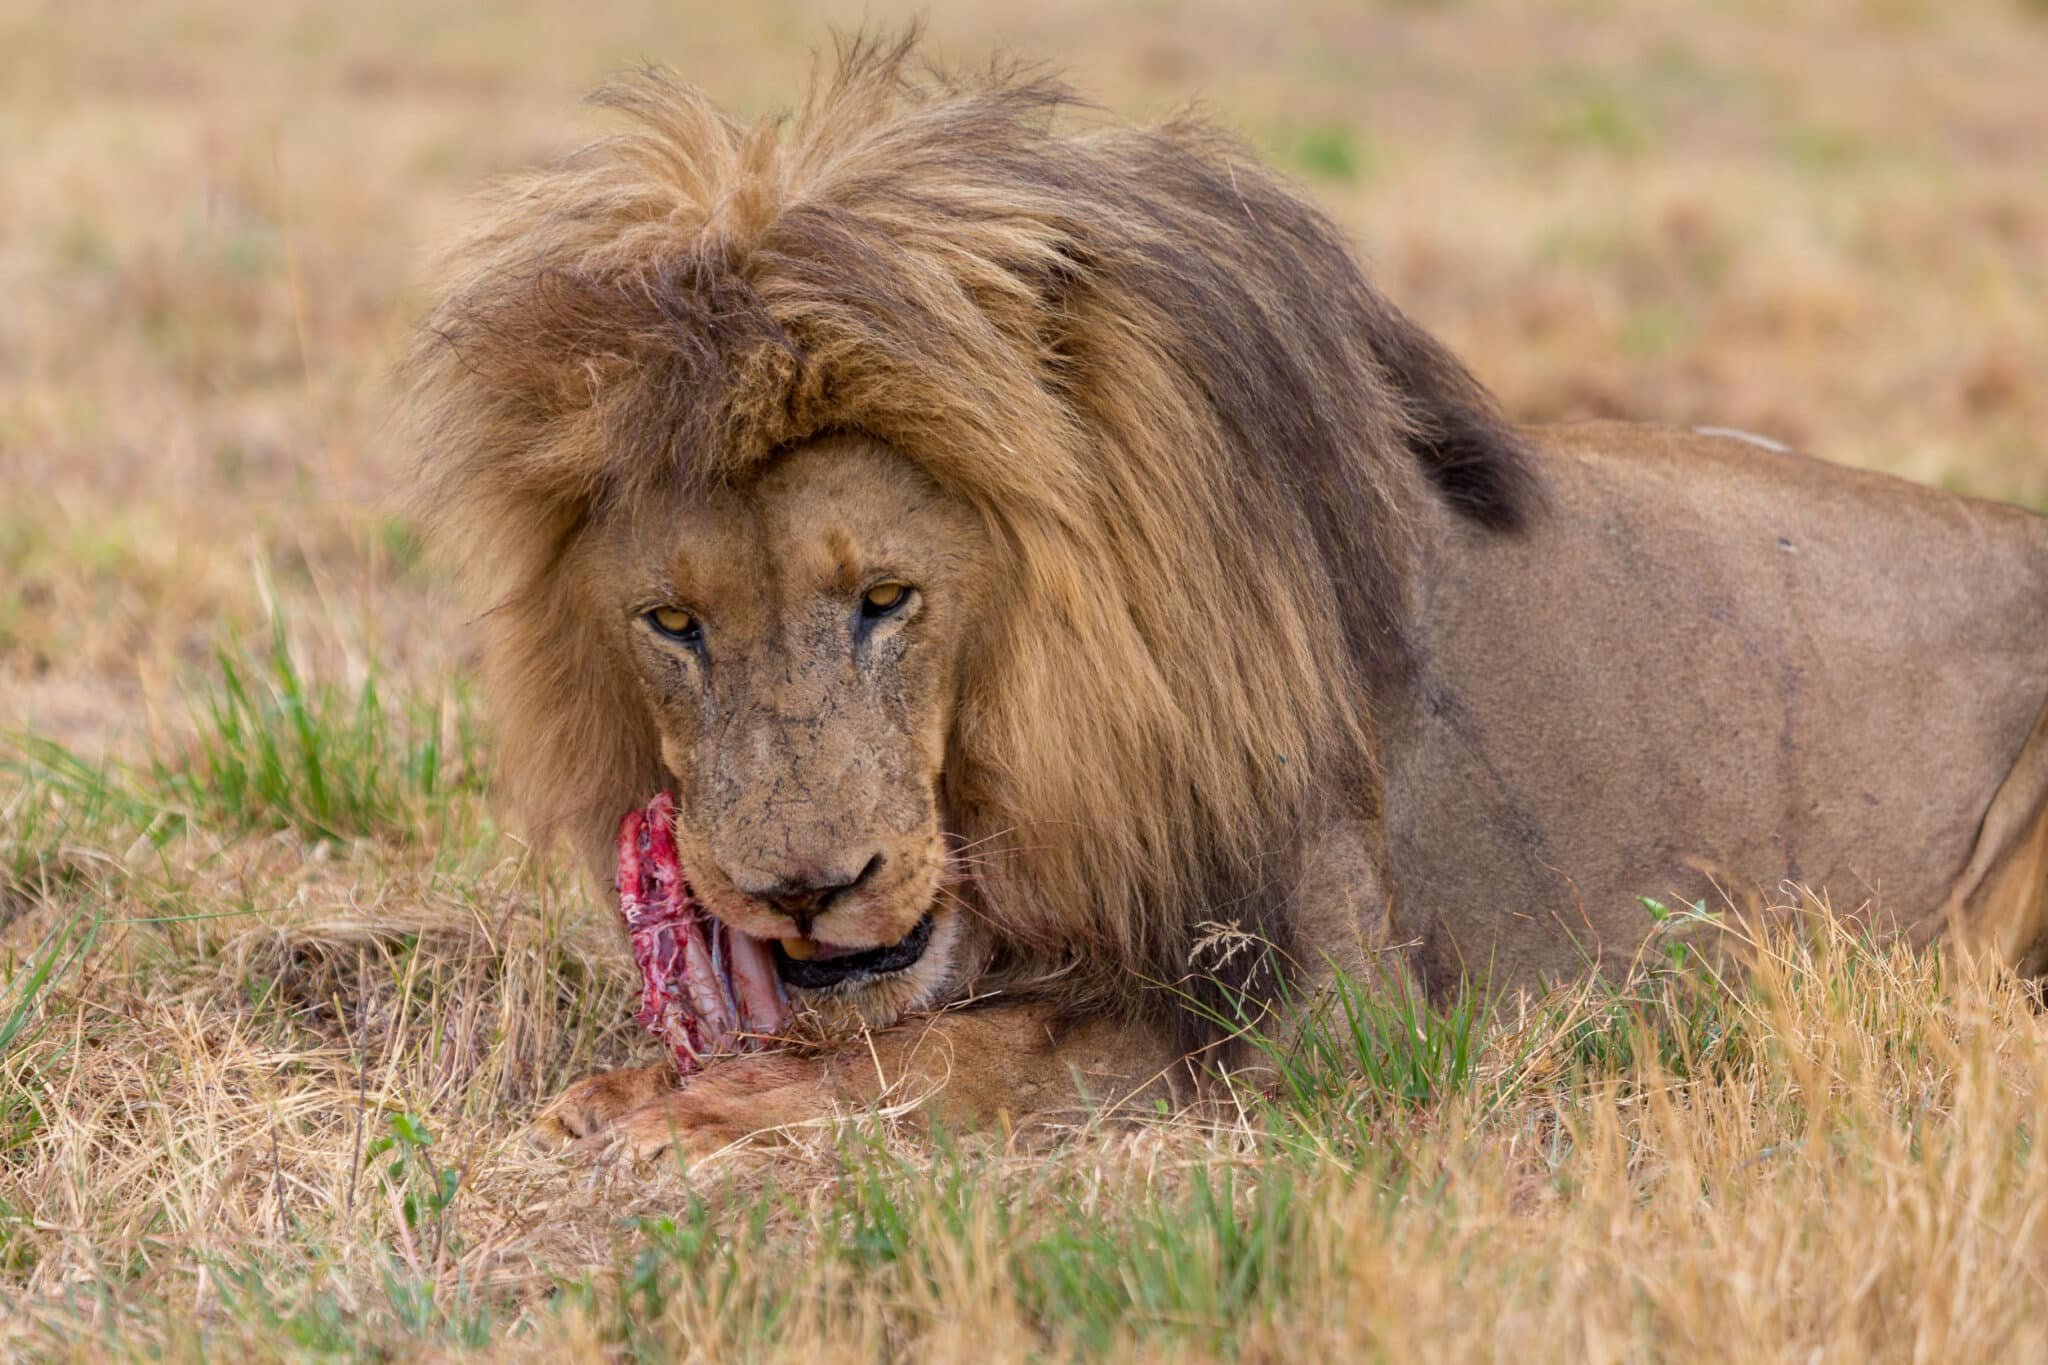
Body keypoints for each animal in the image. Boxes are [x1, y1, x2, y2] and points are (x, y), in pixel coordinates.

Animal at [405, 33, 2048, 1161]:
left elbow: (972, 1045)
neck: (1041, 723)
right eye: (672, 625)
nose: (804, 890)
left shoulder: (1346, 1018)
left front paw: (712, 1103)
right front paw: (627, 1085)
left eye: (885, 596)